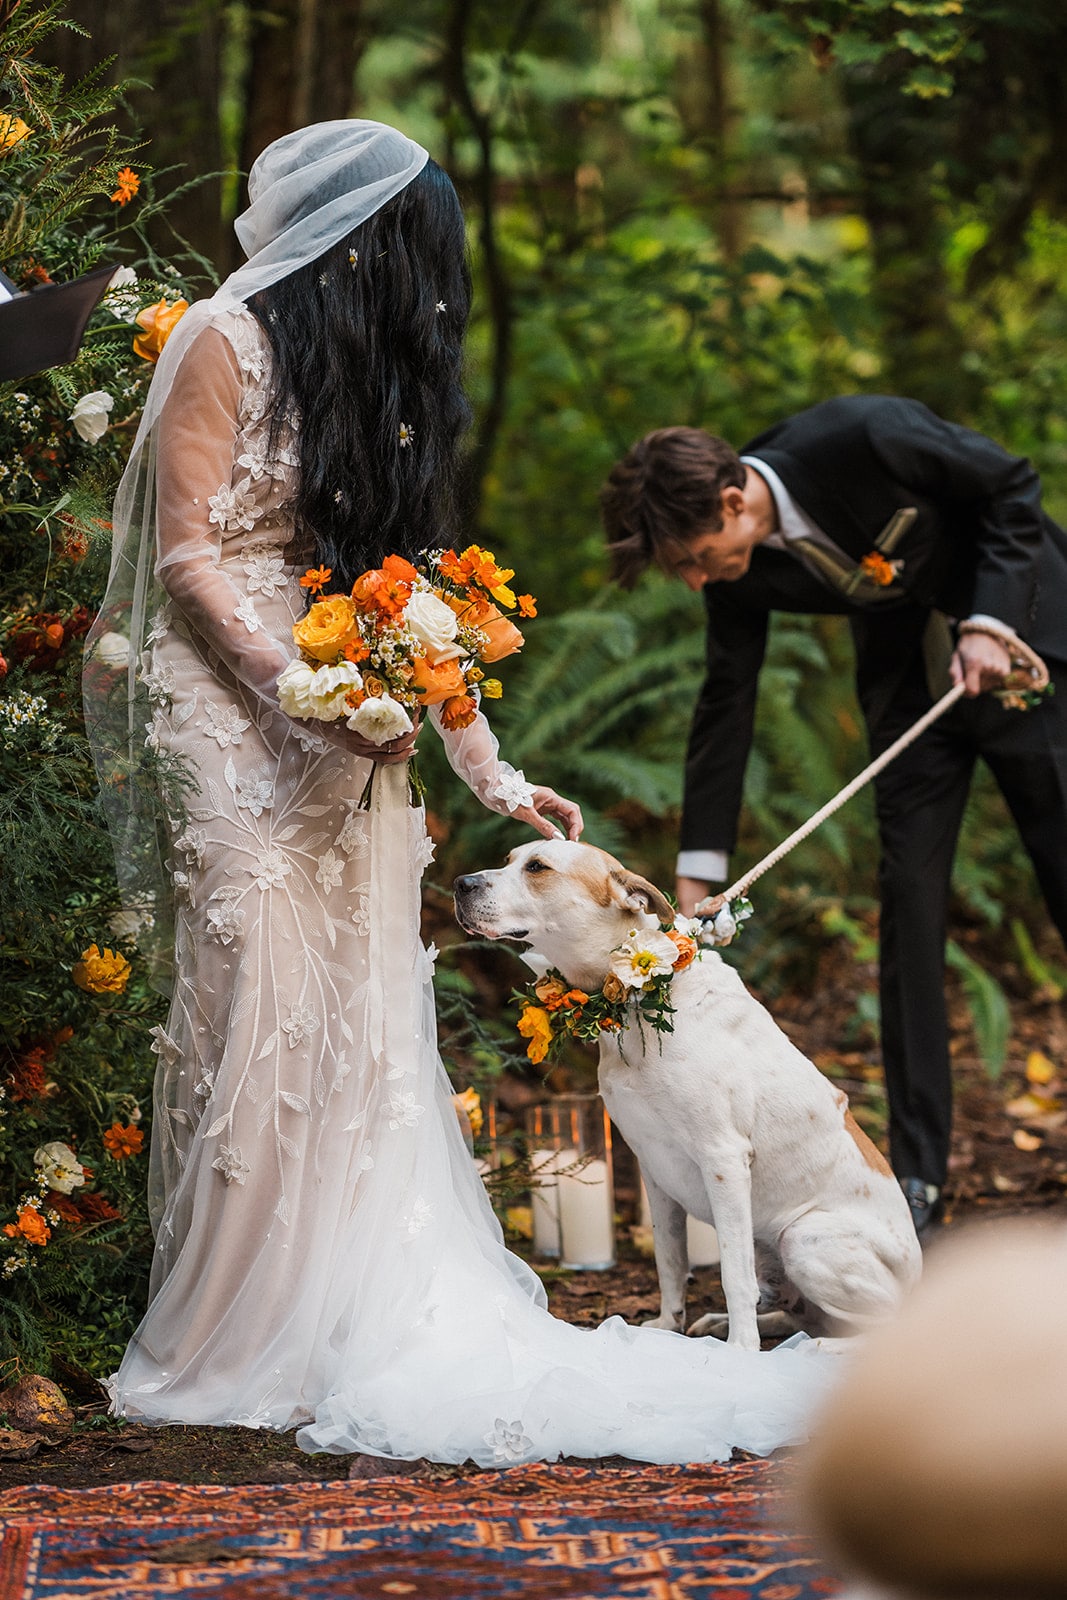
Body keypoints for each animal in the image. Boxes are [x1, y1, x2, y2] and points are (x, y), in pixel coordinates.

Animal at [454, 838, 921, 1350]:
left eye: (538, 868)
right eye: (508, 859)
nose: (460, 883)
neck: (635, 1003)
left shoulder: (723, 1160)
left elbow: (733, 1275)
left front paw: (740, 1352)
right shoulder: (653, 1166)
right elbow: (670, 1260)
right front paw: (667, 1327)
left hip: (804, 1236)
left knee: (880, 1330)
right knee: (802, 1313)